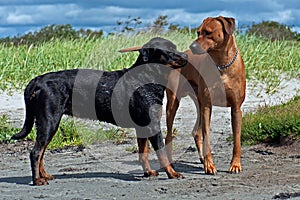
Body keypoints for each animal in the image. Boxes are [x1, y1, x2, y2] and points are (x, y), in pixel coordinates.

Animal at [11, 37, 188, 184]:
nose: (186, 56)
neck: (146, 78)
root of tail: (37, 81)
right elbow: (162, 153)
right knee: (36, 152)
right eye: (169, 50)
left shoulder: (142, 126)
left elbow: (143, 152)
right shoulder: (152, 125)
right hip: (49, 121)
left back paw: (44, 176)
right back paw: (37, 180)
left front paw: (148, 172)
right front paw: (172, 173)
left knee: (41, 152)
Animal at [166, 16, 246, 174]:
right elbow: (207, 135)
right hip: (173, 103)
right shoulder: (207, 106)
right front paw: (210, 165)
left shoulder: (236, 108)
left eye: (208, 32)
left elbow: (237, 140)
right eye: (198, 32)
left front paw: (235, 164)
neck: (221, 64)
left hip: (199, 101)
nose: (192, 46)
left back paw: (202, 159)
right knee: (169, 135)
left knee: (196, 132)